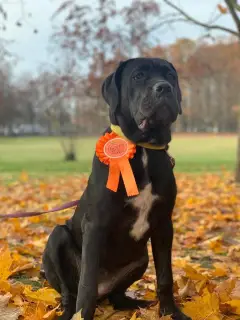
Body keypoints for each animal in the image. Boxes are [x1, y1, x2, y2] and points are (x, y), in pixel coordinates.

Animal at [42, 58, 191, 320]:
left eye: (170, 76)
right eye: (138, 76)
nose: (164, 88)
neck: (144, 148)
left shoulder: (164, 224)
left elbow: (165, 276)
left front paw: (170, 313)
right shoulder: (95, 224)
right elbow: (86, 283)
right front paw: (83, 315)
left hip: (141, 258)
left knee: (117, 296)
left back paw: (137, 304)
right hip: (56, 237)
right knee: (70, 293)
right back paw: (69, 312)